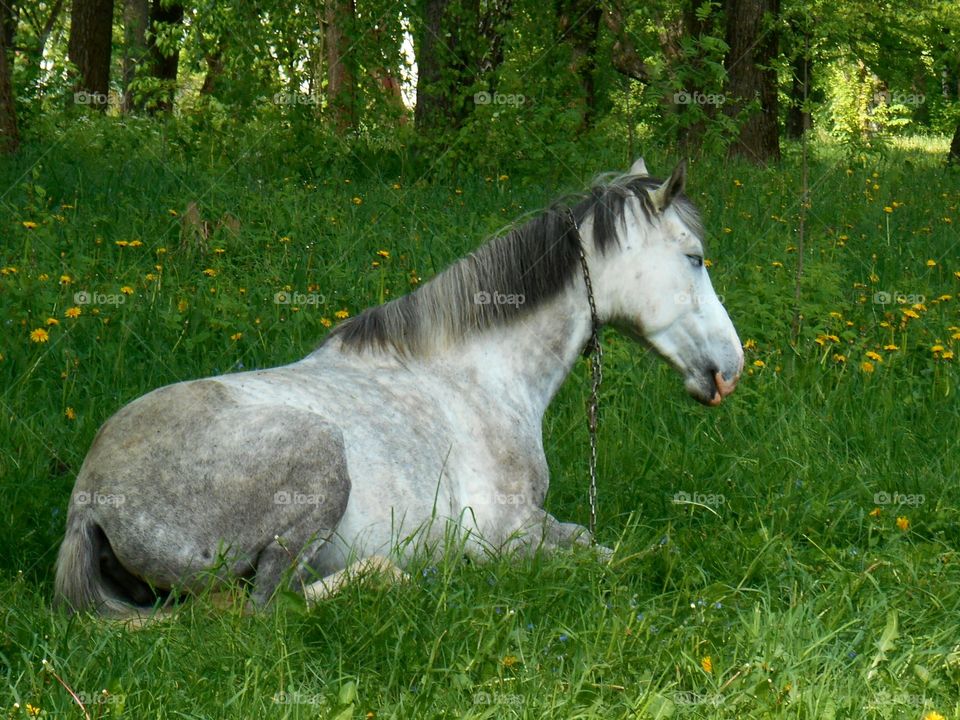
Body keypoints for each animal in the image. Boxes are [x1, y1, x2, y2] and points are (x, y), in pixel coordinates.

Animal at [54, 159, 744, 620]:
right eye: (694, 258)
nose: (730, 369)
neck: (478, 376)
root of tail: (89, 504)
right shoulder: (510, 535)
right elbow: (611, 556)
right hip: (316, 464)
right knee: (267, 608)